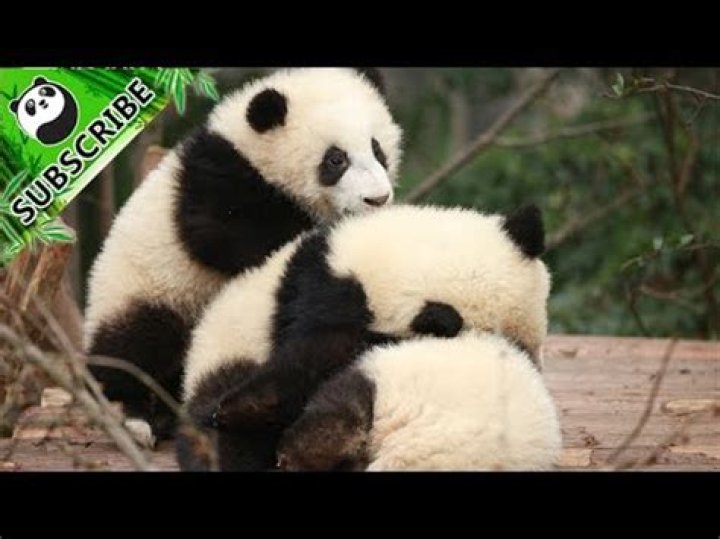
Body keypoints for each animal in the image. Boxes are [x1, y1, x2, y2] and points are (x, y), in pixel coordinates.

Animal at [83, 68, 402, 441]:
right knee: (137, 345)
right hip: (148, 288)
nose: (377, 199)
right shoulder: (217, 179)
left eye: (377, 150)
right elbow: (219, 234)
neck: (253, 152)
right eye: (336, 160)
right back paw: (136, 415)